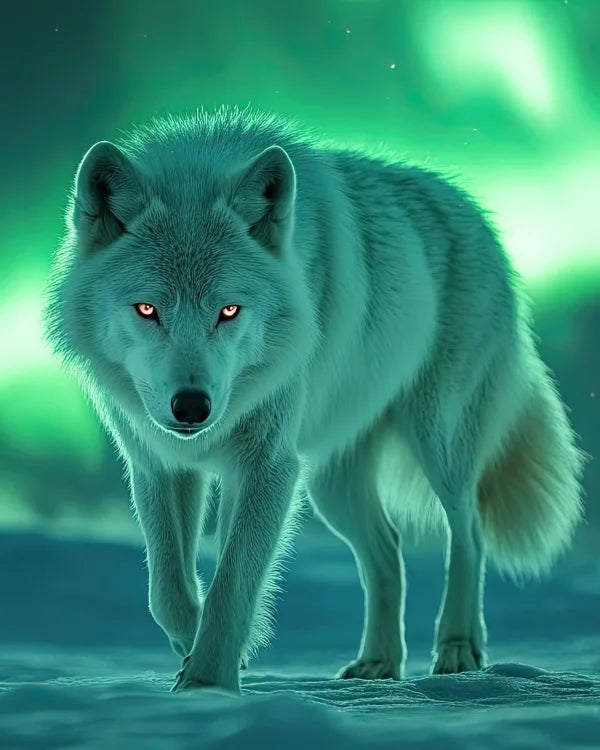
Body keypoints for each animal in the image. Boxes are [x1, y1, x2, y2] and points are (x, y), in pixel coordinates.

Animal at [43, 104, 586, 693]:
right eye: (147, 309)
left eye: (229, 311)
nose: (192, 408)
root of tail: (476, 211)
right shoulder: (158, 463)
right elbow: (168, 590)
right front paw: (203, 658)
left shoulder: (267, 465)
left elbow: (233, 581)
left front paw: (208, 686)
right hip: (330, 484)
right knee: (389, 551)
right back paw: (377, 664)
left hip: (437, 443)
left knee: (469, 533)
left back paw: (458, 648)